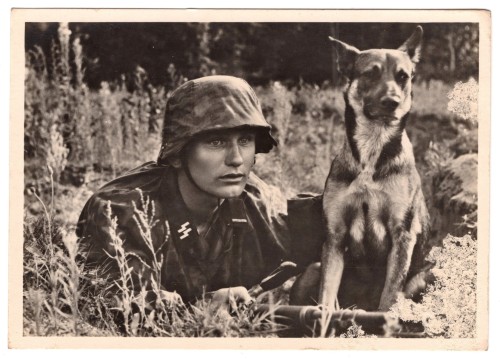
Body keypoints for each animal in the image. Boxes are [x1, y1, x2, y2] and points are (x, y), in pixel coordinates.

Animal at [320, 26, 430, 312]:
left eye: (403, 77)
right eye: (370, 73)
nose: (392, 101)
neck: (372, 148)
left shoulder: (403, 235)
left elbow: (389, 298)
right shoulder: (334, 236)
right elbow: (325, 299)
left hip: (426, 277)